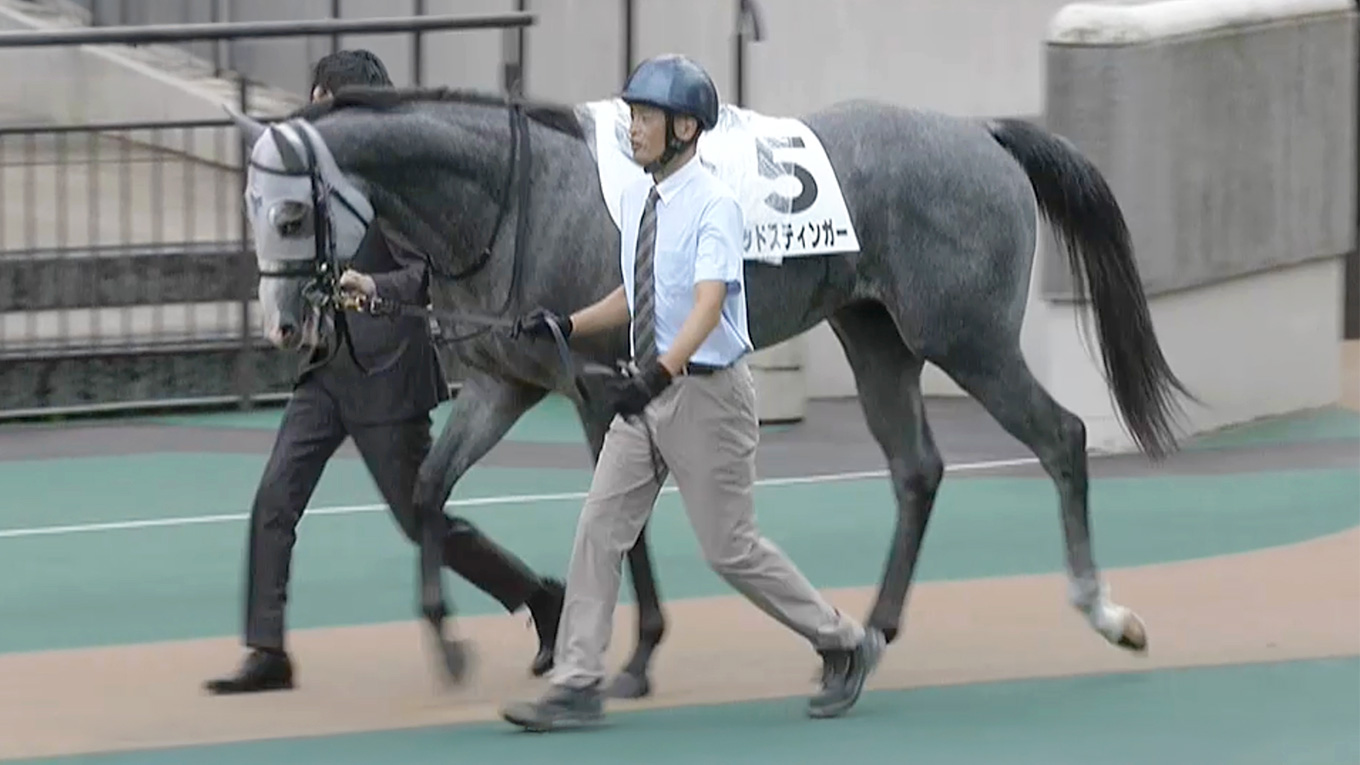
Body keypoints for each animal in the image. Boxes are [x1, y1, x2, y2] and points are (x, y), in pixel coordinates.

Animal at [225, 84, 1191, 698]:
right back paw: (873, 631)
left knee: (1061, 436)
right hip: (876, 338)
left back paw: (1105, 611)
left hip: (968, 339)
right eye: (250, 210)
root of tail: (984, 134)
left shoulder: (598, 387)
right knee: (918, 470)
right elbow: (429, 490)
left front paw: (634, 656)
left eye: (289, 214)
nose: (285, 328)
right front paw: (450, 640)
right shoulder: (507, 383)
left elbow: (623, 525)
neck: (517, 194)